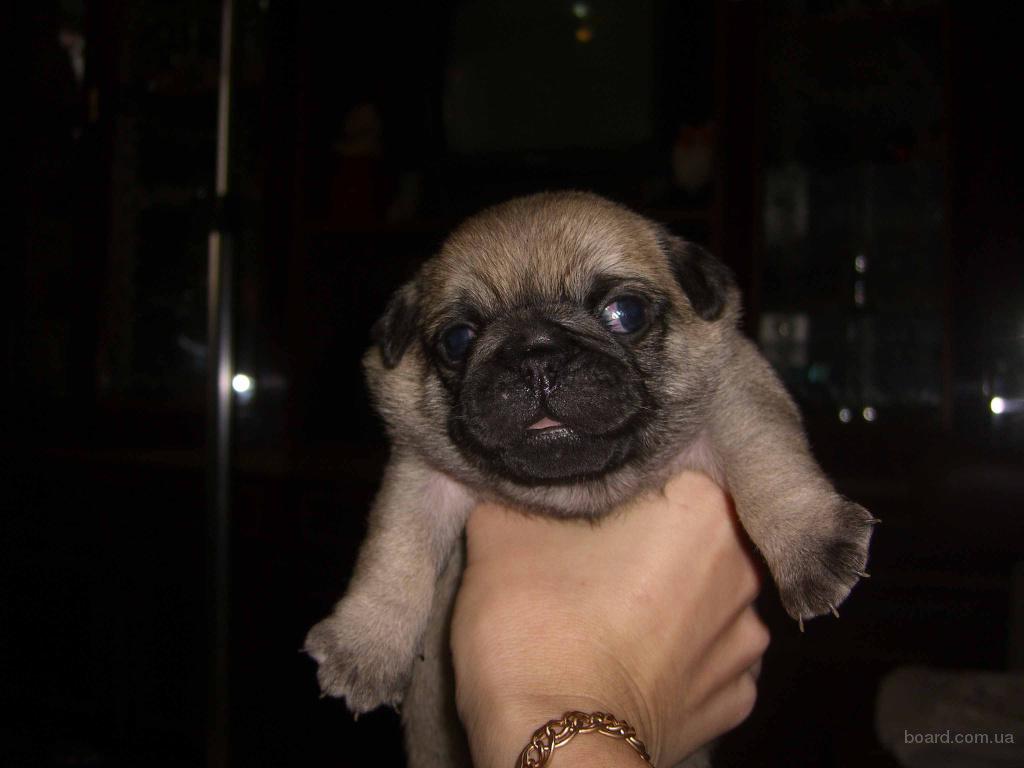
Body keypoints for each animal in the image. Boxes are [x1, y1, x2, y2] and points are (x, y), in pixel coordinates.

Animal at [304, 191, 874, 766]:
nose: (535, 354)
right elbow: (397, 549)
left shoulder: (737, 392)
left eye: (626, 313)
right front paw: (366, 646)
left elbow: (765, 461)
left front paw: (811, 546)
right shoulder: (423, 473)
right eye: (458, 340)